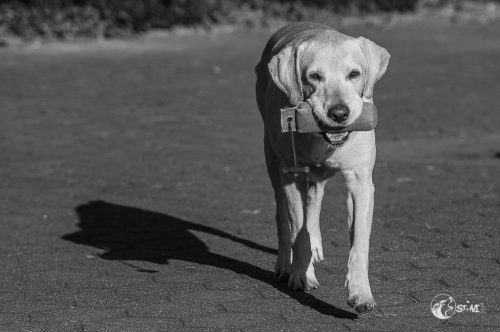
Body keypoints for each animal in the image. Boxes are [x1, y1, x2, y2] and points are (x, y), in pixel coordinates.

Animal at [254, 22, 390, 312]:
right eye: (314, 76)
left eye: (354, 74)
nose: (339, 113)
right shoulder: (292, 175)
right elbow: (298, 230)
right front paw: (302, 275)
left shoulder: (361, 182)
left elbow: (359, 243)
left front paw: (361, 293)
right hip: (272, 159)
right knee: (282, 215)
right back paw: (285, 264)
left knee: (314, 199)